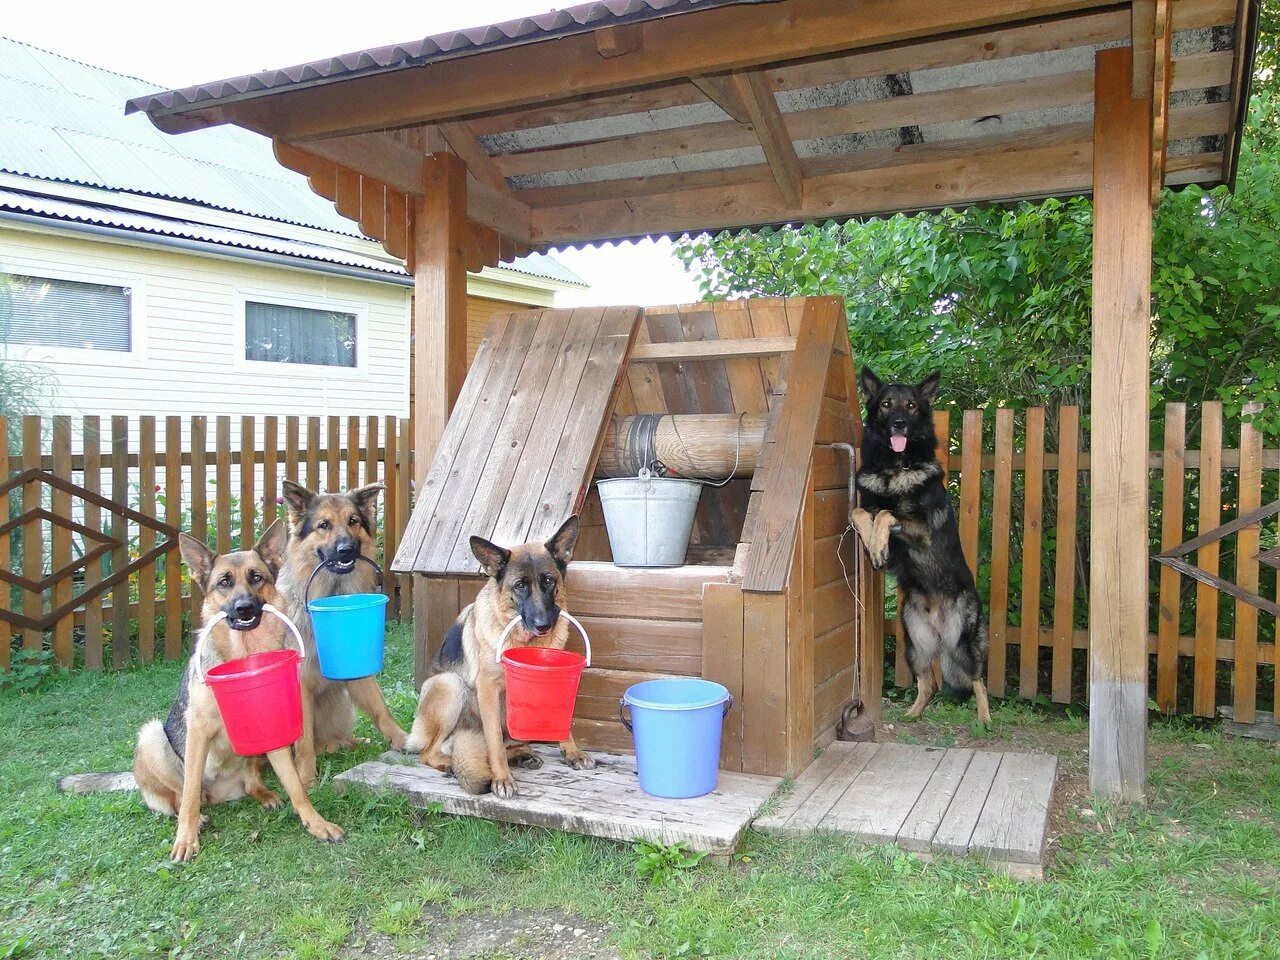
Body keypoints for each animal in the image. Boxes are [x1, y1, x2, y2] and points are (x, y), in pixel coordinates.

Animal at [277, 481, 407, 788]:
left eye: (353, 521)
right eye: (323, 525)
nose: (347, 550)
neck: (331, 594)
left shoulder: (358, 674)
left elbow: (381, 709)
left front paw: (404, 740)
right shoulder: (301, 684)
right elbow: (304, 741)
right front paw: (306, 778)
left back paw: (347, 743)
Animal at [855, 363, 993, 727]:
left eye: (912, 406)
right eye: (886, 404)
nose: (899, 423)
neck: (893, 466)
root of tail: (941, 625)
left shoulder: (923, 530)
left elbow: (886, 513)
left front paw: (877, 545)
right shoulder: (866, 503)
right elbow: (860, 511)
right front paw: (872, 544)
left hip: (964, 643)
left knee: (978, 680)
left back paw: (985, 720)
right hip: (913, 643)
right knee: (929, 683)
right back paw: (911, 715)